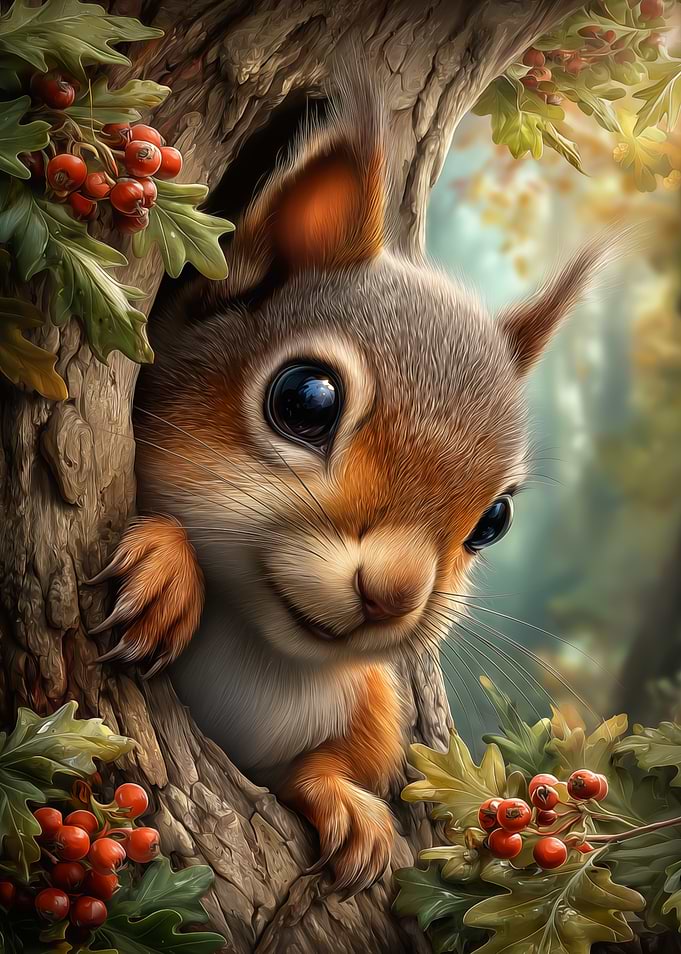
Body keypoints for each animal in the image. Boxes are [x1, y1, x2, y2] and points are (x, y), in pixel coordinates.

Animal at [88, 66, 608, 894]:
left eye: (494, 519)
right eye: (306, 400)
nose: (392, 594)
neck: (259, 646)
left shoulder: (371, 700)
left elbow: (340, 761)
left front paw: (349, 808)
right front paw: (166, 571)